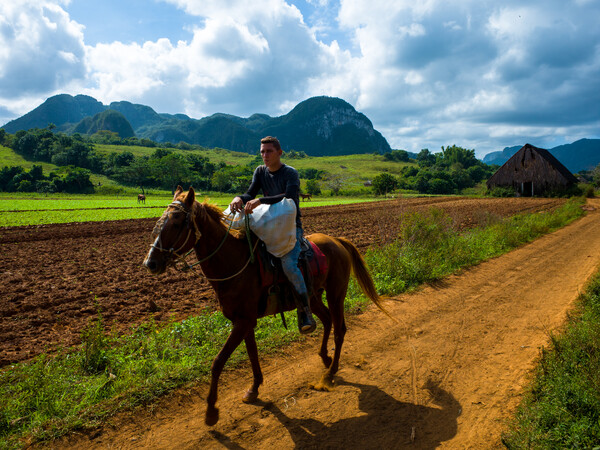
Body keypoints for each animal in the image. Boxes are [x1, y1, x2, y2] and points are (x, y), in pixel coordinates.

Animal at [143, 185, 392, 426]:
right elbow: (252, 354)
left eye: (176, 221)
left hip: (336, 293)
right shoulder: (244, 321)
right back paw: (325, 357)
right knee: (327, 319)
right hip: (312, 297)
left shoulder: (244, 321)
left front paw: (211, 410)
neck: (234, 262)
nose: (150, 263)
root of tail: (338, 241)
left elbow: (218, 361)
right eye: (161, 219)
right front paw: (254, 388)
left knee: (340, 329)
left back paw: (330, 374)